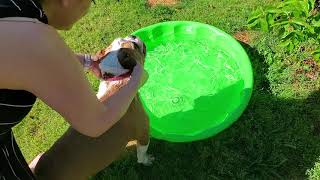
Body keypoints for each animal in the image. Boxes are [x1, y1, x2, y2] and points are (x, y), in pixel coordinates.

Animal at [95, 35, 155, 166]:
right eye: (135, 46)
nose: (133, 36)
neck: (117, 80)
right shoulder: (143, 134)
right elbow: (141, 155)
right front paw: (147, 160)